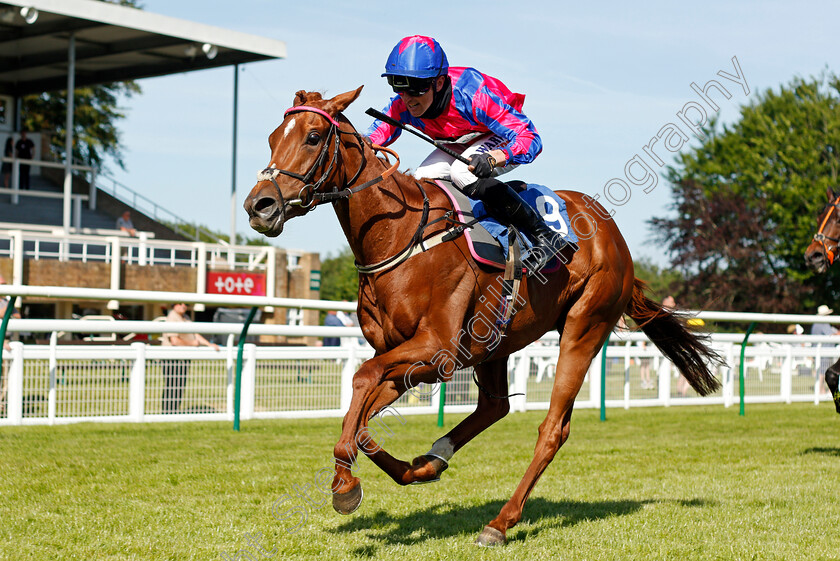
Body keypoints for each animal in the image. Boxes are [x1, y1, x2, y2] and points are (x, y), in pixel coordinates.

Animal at [243, 86, 720, 544]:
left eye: (313, 137)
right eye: (272, 138)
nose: (259, 205)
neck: (401, 235)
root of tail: (615, 237)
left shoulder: (438, 351)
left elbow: (361, 379)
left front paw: (344, 483)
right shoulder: (406, 355)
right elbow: (360, 417)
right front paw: (381, 473)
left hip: (585, 326)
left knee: (553, 429)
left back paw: (500, 522)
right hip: (496, 342)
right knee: (495, 405)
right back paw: (433, 459)